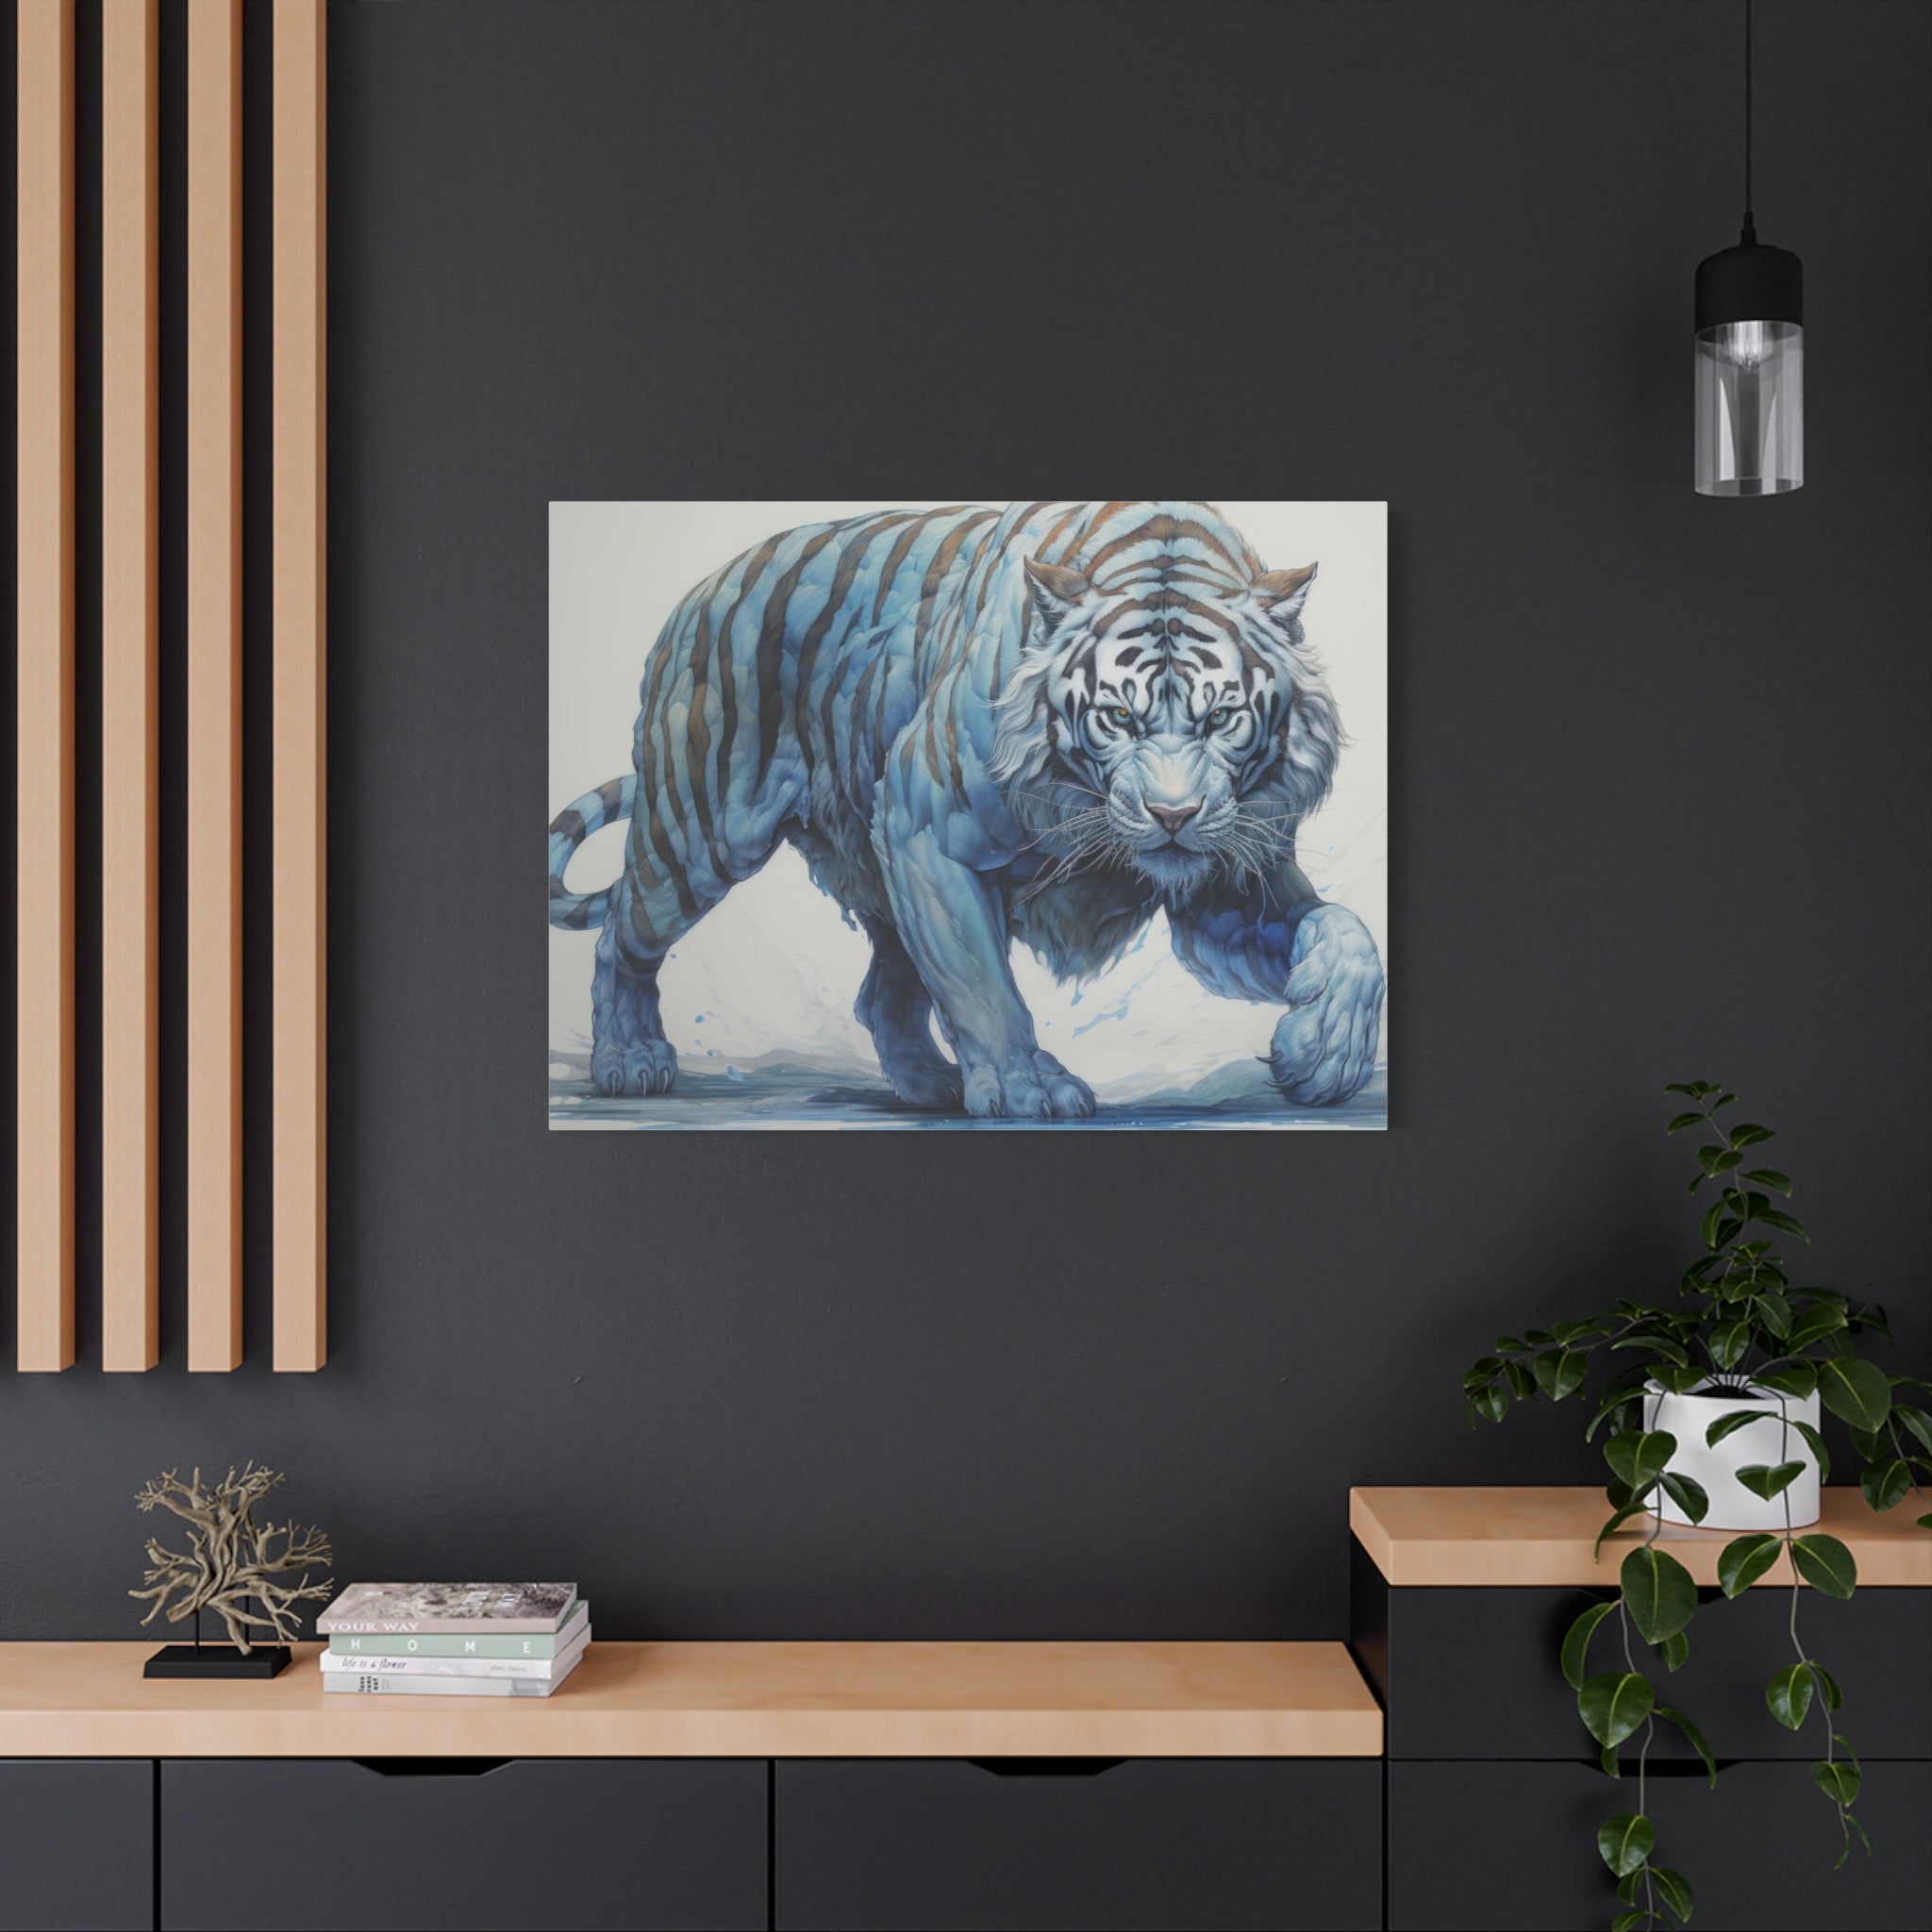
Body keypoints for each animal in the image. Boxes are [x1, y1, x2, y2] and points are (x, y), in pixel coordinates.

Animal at [547, 500, 1384, 1118]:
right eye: (1118, 716)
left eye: (1221, 718)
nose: (1172, 816)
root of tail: (706, 586)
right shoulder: (927, 834)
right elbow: (983, 987)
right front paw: (1027, 1085)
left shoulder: (1228, 881)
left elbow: (1348, 933)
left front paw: (1325, 1052)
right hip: (697, 835)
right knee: (621, 937)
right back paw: (628, 1061)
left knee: (883, 996)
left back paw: (932, 1086)